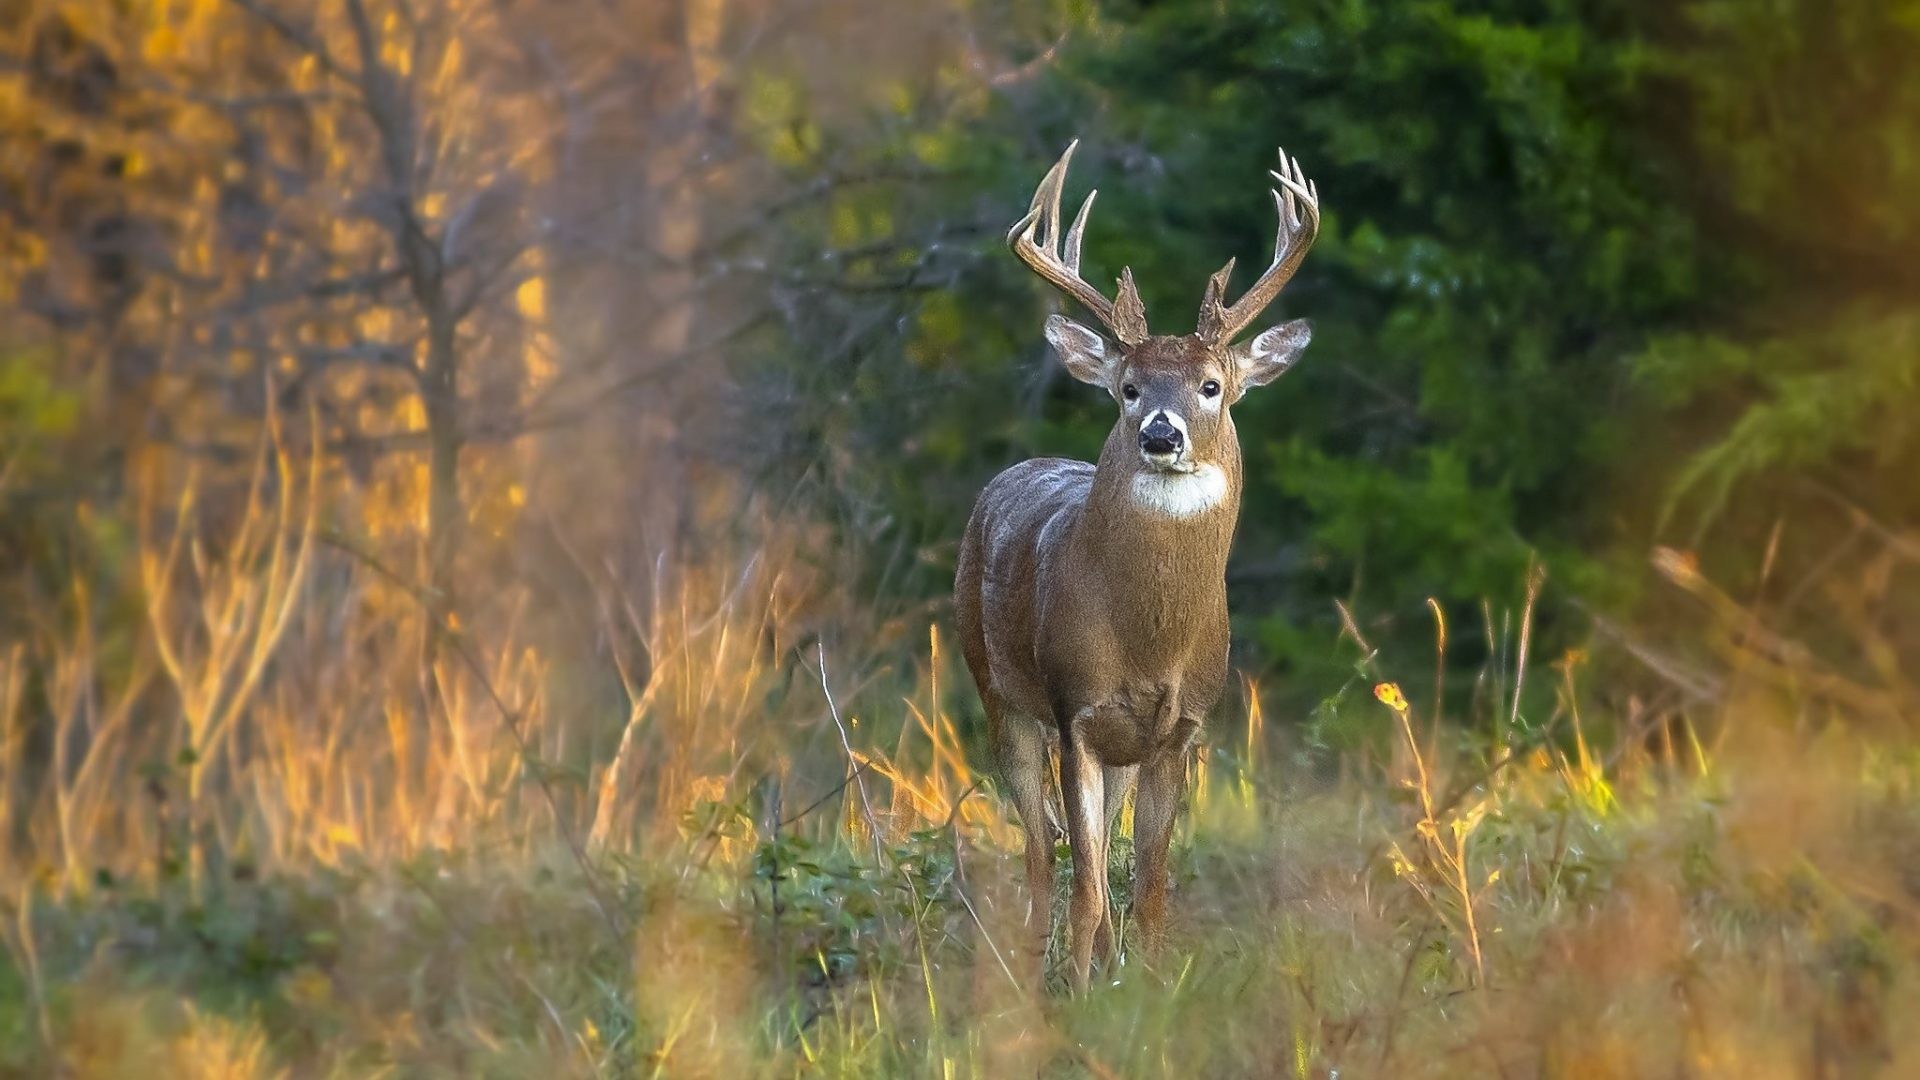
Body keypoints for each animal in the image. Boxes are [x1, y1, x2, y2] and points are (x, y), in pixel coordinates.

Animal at [954, 140, 1319, 993]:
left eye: (1212, 386)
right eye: (1126, 388)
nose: (1160, 434)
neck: (1149, 640)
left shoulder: (1178, 730)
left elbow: (1150, 884)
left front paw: (1147, 989)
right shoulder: (1076, 713)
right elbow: (1087, 884)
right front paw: (1084, 992)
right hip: (998, 691)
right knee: (1039, 849)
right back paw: (1032, 973)